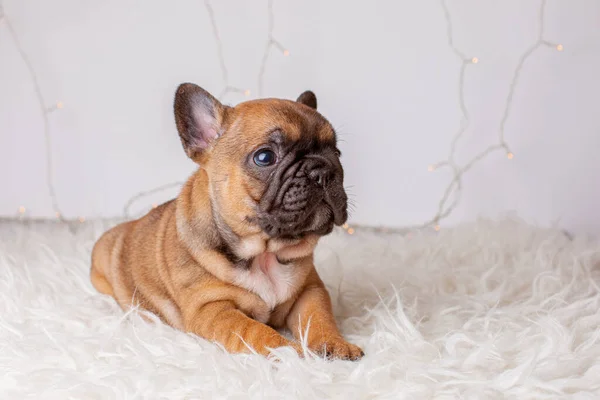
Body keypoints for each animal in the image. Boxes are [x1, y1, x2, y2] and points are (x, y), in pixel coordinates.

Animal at [89, 83, 360, 360]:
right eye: (265, 157)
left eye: (336, 153)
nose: (323, 170)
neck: (264, 254)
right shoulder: (213, 309)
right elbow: (257, 331)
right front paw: (290, 353)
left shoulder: (310, 290)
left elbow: (319, 317)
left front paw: (335, 345)